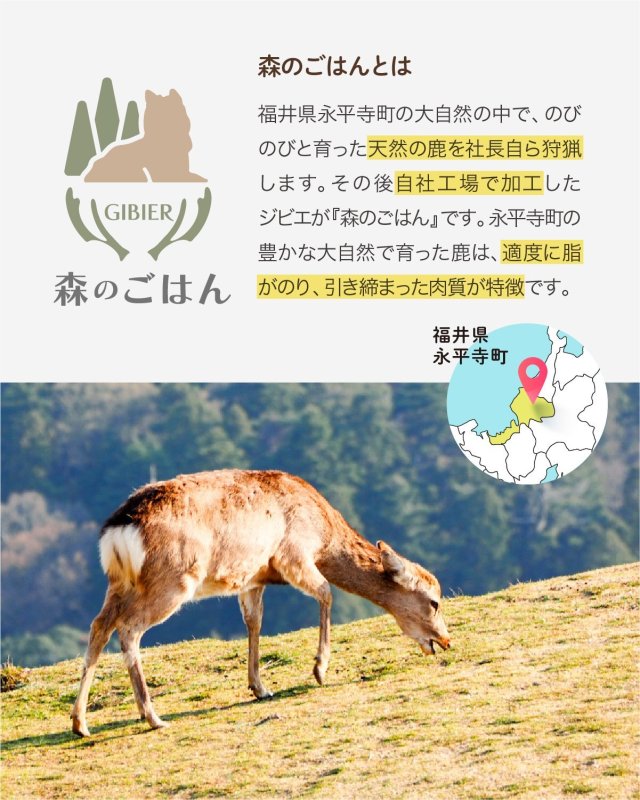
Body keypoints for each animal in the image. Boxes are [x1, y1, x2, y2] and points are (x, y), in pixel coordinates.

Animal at [71, 470, 451, 737]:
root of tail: (118, 530)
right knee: (129, 628)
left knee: (98, 626)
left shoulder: (252, 578)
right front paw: (320, 669)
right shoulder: (293, 554)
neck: (324, 535)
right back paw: (152, 716)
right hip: (173, 580)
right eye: (433, 601)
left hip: (119, 582)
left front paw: (260, 688)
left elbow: (254, 622)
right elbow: (326, 592)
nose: (445, 641)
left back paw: (80, 723)